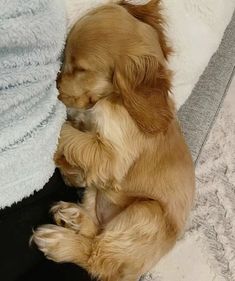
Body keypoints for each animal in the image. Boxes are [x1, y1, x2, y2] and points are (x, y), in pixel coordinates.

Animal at [32, 1, 195, 278]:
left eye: (80, 69)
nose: (56, 86)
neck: (115, 98)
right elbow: (78, 136)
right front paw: (71, 172)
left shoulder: (113, 156)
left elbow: (69, 132)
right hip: (97, 194)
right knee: (95, 228)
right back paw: (74, 217)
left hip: (145, 213)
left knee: (97, 259)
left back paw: (58, 241)